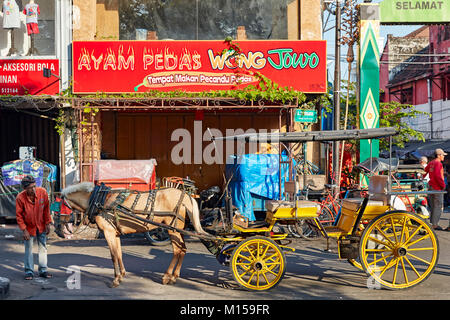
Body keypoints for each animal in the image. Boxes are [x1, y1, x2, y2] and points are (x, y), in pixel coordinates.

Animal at [61, 181, 209, 288]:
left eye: (61, 205)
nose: (62, 224)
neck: (98, 200)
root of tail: (187, 196)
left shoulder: (109, 233)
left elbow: (113, 256)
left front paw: (116, 279)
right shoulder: (115, 234)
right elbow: (119, 254)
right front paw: (121, 275)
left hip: (172, 229)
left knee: (178, 251)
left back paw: (167, 276)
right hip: (177, 230)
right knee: (183, 249)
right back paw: (174, 276)